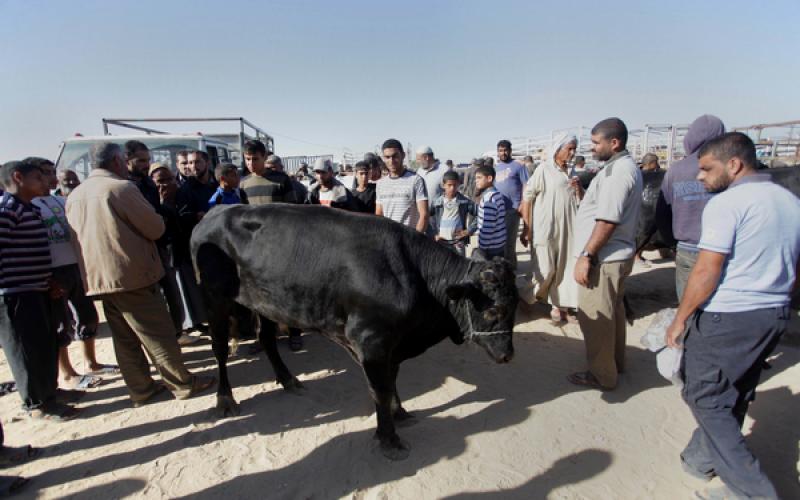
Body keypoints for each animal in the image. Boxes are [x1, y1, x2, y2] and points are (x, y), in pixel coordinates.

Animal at [193, 205, 520, 458]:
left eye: (515, 304)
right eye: (492, 311)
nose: (507, 355)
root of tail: (214, 212)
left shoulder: (392, 344)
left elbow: (391, 381)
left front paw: (400, 414)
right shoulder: (371, 341)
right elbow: (380, 389)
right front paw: (389, 438)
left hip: (266, 302)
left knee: (267, 339)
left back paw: (289, 380)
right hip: (213, 298)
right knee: (219, 347)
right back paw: (225, 400)